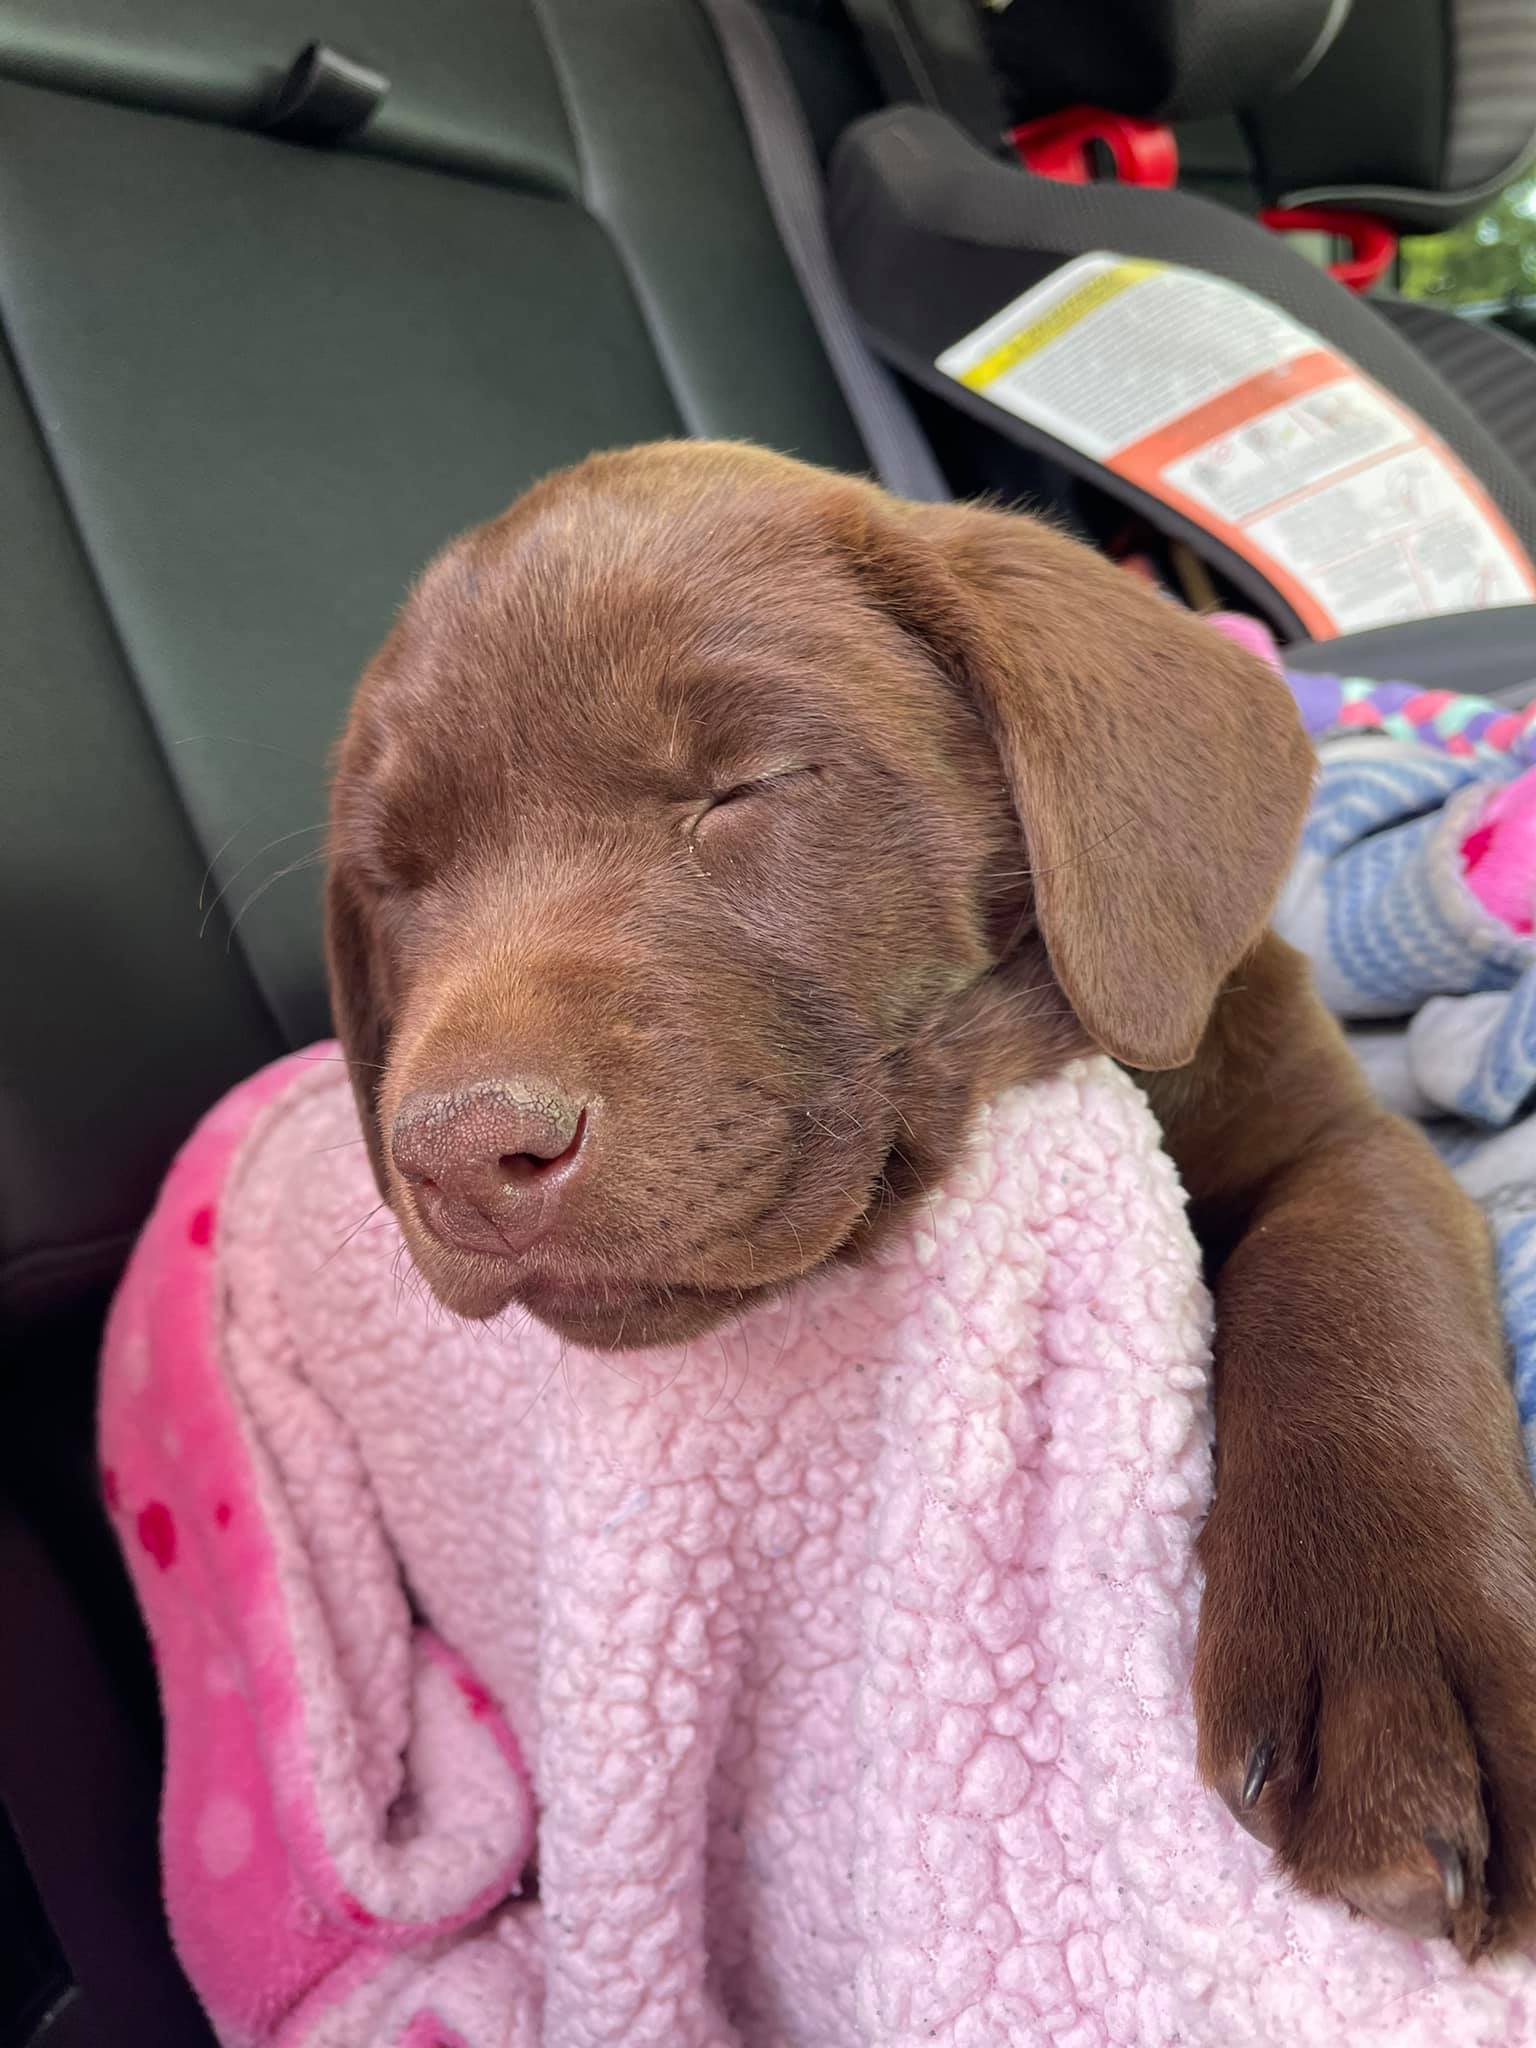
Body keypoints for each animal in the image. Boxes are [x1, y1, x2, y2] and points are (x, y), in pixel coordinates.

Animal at [326, 440, 1536, 1956]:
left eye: (746, 784)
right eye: (397, 880)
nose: (458, 1156)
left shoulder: (1339, 1129)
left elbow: (1357, 1283)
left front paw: (1394, 1666)